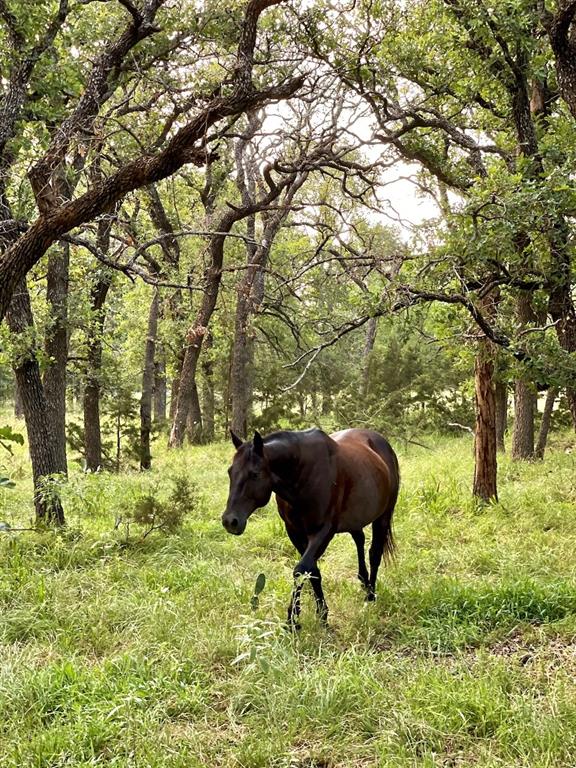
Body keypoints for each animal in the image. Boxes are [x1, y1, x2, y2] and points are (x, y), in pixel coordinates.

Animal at [222, 428, 400, 628]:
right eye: (230, 472)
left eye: (255, 474)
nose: (230, 521)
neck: (301, 476)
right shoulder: (294, 531)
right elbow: (312, 571)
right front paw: (321, 615)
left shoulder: (323, 531)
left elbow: (302, 569)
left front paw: (293, 619)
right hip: (356, 518)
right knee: (359, 539)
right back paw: (363, 581)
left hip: (383, 516)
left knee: (375, 553)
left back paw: (370, 595)